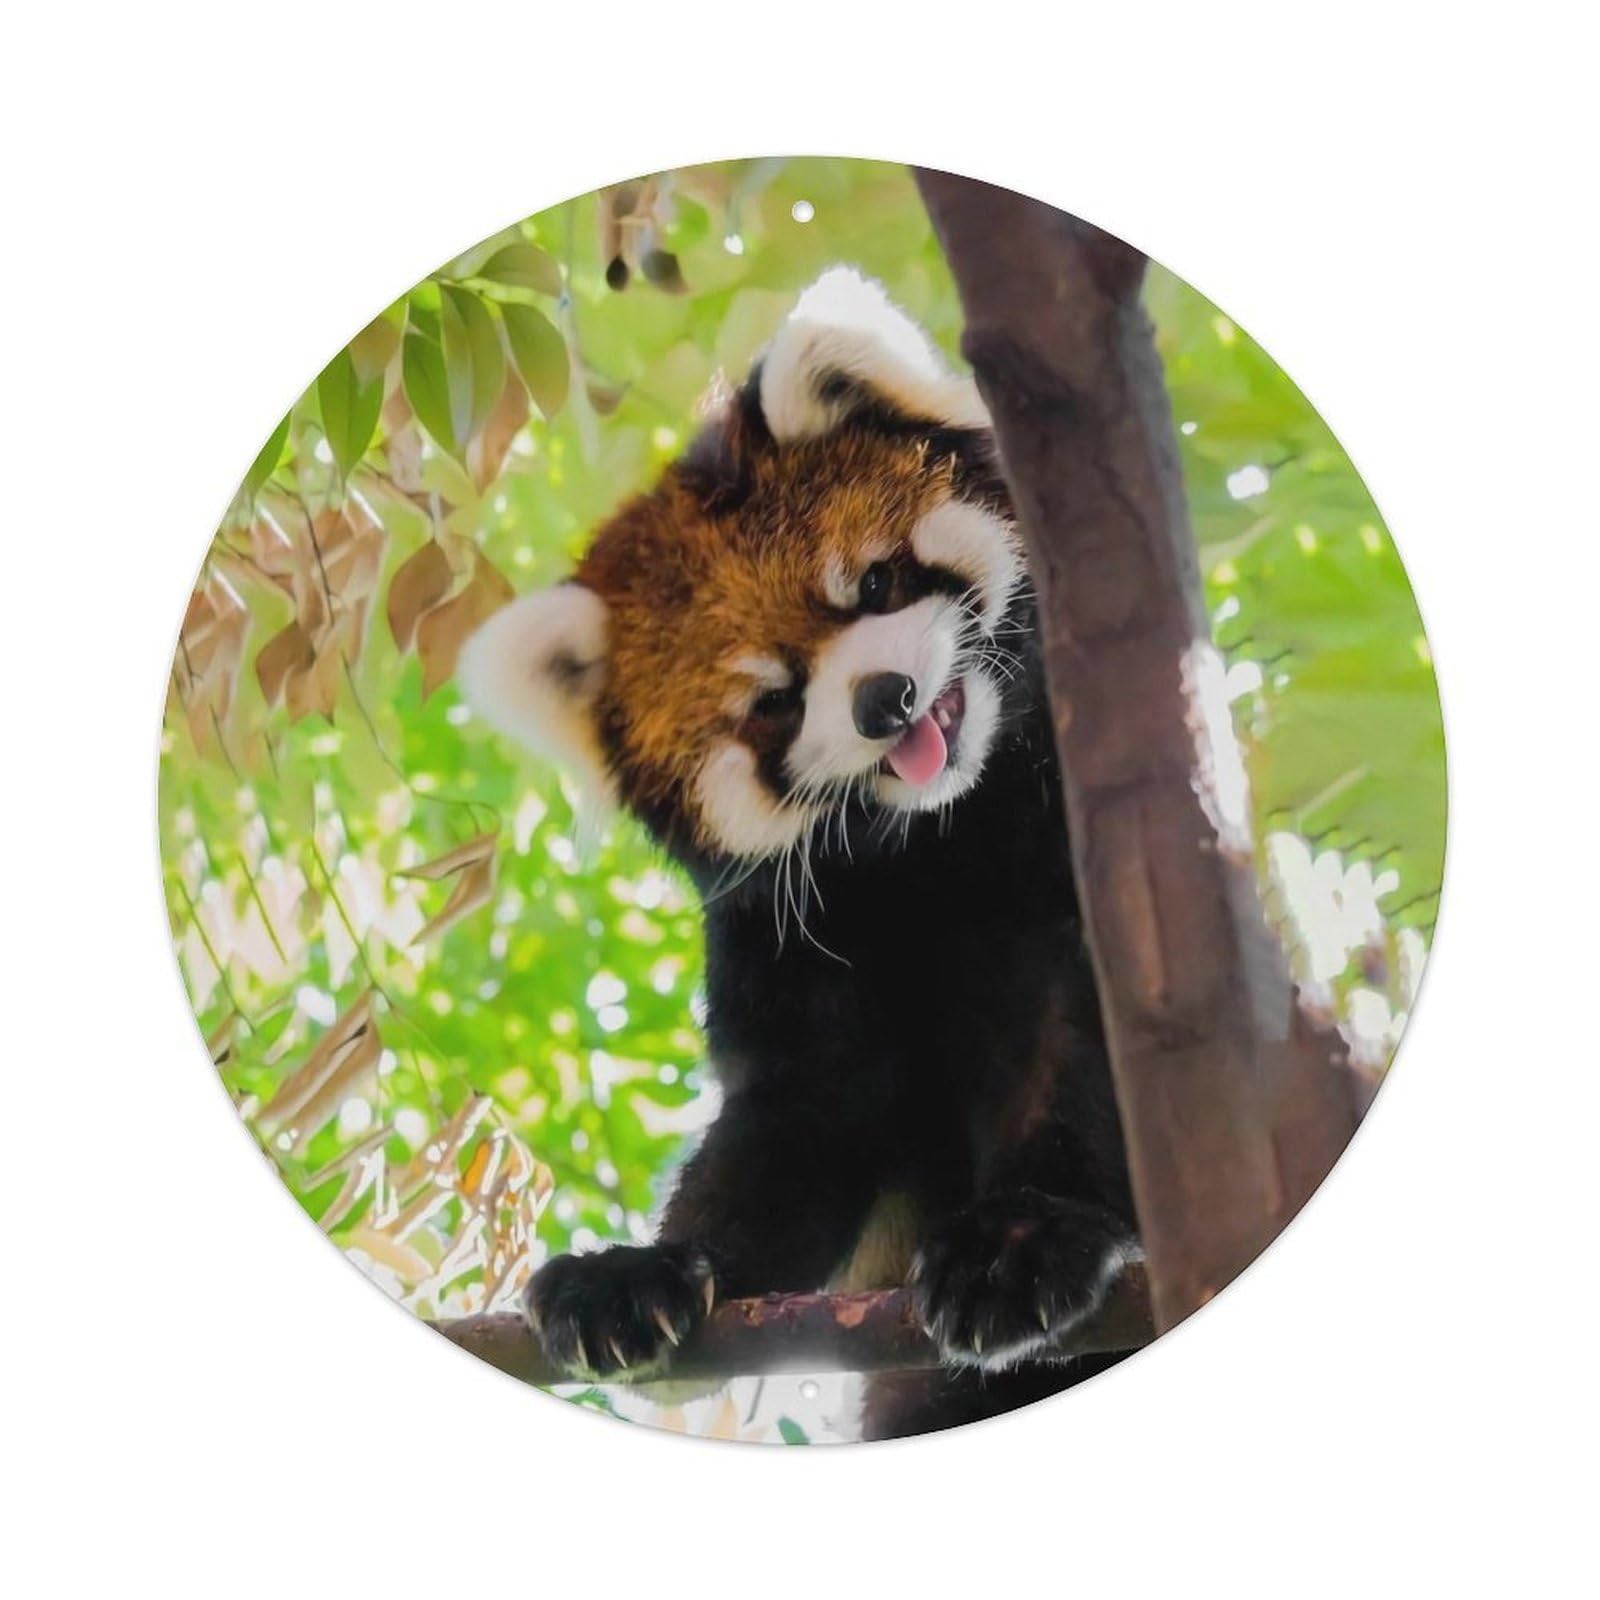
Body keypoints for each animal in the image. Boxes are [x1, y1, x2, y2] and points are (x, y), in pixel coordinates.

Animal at [460, 267, 1140, 1439]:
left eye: (870, 586)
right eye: (773, 702)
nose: (884, 700)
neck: (938, 841)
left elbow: (1079, 1041)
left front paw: (1027, 1236)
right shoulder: (788, 938)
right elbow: (795, 1128)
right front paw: (642, 1274)